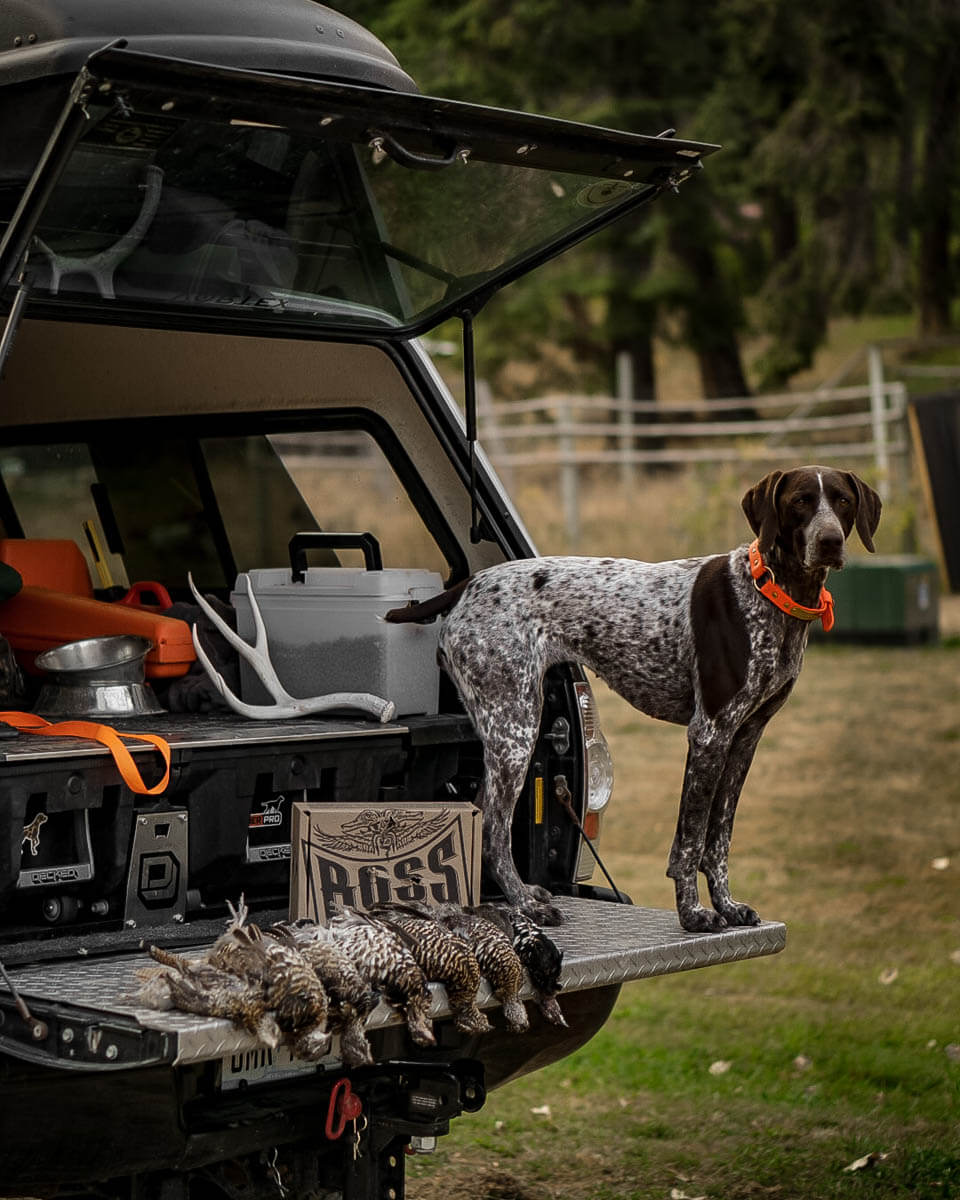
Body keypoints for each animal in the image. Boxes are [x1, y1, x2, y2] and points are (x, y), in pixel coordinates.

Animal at [386, 463, 883, 931]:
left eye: (842, 501)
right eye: (800, 501)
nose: (830, 541)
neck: (769, 590)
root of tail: (468, 585)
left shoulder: (744, 739)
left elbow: (718, 839)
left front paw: (726, 905)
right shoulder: (709, 734)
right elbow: (690, 842)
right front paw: (693, 915)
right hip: (515, 727)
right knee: (492, 823)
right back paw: (524, 903)